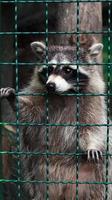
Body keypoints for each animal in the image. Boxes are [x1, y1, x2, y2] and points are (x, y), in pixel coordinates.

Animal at [0, 38, 112, 199]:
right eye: (50, 69)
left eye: (67, 70)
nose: (51, 85)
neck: (65, 93)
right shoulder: (39, 93)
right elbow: (30, 113)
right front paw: (14, 99)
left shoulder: (93, 99)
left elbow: (93, 124)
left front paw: (92, 145)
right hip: (38, 175)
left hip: (94, 177)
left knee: (100, 182)